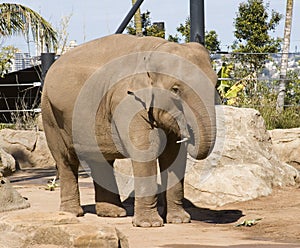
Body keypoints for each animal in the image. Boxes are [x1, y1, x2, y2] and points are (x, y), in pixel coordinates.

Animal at [41, 34, 217, 228]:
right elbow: (146, 150)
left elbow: (173, 155)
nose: (189, 134)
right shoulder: (126, 100)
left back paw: (113, 213)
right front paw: (150, 224)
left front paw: (179, 220)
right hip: (50, 114)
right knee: (65, 159)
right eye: (175, 90)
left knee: (100, 160)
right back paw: (72, 213)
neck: (154, 51)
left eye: (216, 84)